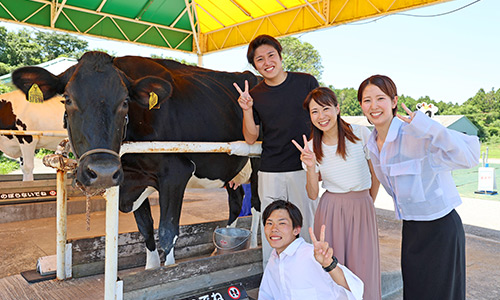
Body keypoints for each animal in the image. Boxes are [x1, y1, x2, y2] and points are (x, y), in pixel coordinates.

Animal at [12, 52, 262, 270]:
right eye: (67, 99)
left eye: (125, 101)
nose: (102, 172)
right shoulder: (131, 180)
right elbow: (146, 229)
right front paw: (150, 268)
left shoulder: (176, 173)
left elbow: (167, 232)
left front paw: (166, 271)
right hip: (232, 169)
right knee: (236, 201)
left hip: (258, 164)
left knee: (257, 205)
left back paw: (254, 246)